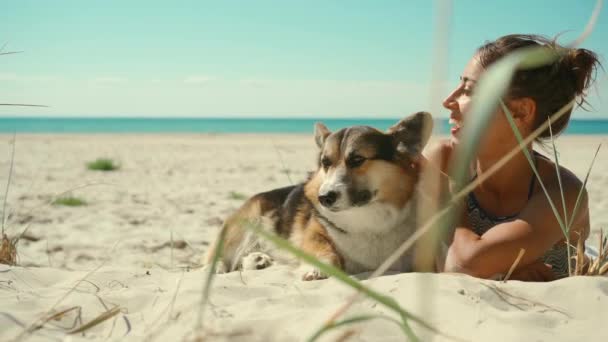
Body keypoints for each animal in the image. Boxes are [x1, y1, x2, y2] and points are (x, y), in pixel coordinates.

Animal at [205, 112, 436, 280]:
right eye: (326, 163)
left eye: (357, 160)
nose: (324, 197)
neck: (365, 218)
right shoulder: (313, 233)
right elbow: (325, 251)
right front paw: (317, 269)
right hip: (245, 224)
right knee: (218, 255)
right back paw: (217, 268)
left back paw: (258, 260)